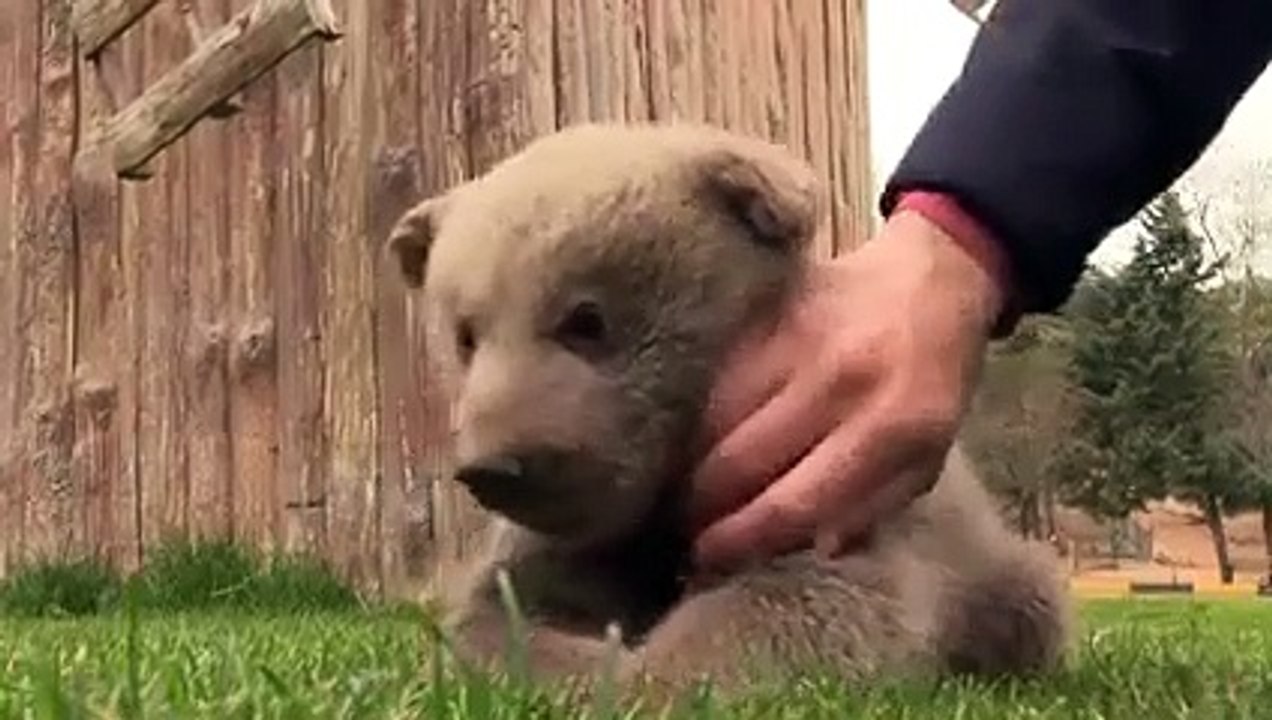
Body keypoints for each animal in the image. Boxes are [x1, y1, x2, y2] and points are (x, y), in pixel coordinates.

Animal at [385, 121, 1071, 704]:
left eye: (587, 319)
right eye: (465, 336)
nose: (497, 466)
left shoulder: (819, 475)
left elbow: (805, 602)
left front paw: (644, 677)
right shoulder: (577, 538)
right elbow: (500, 607)